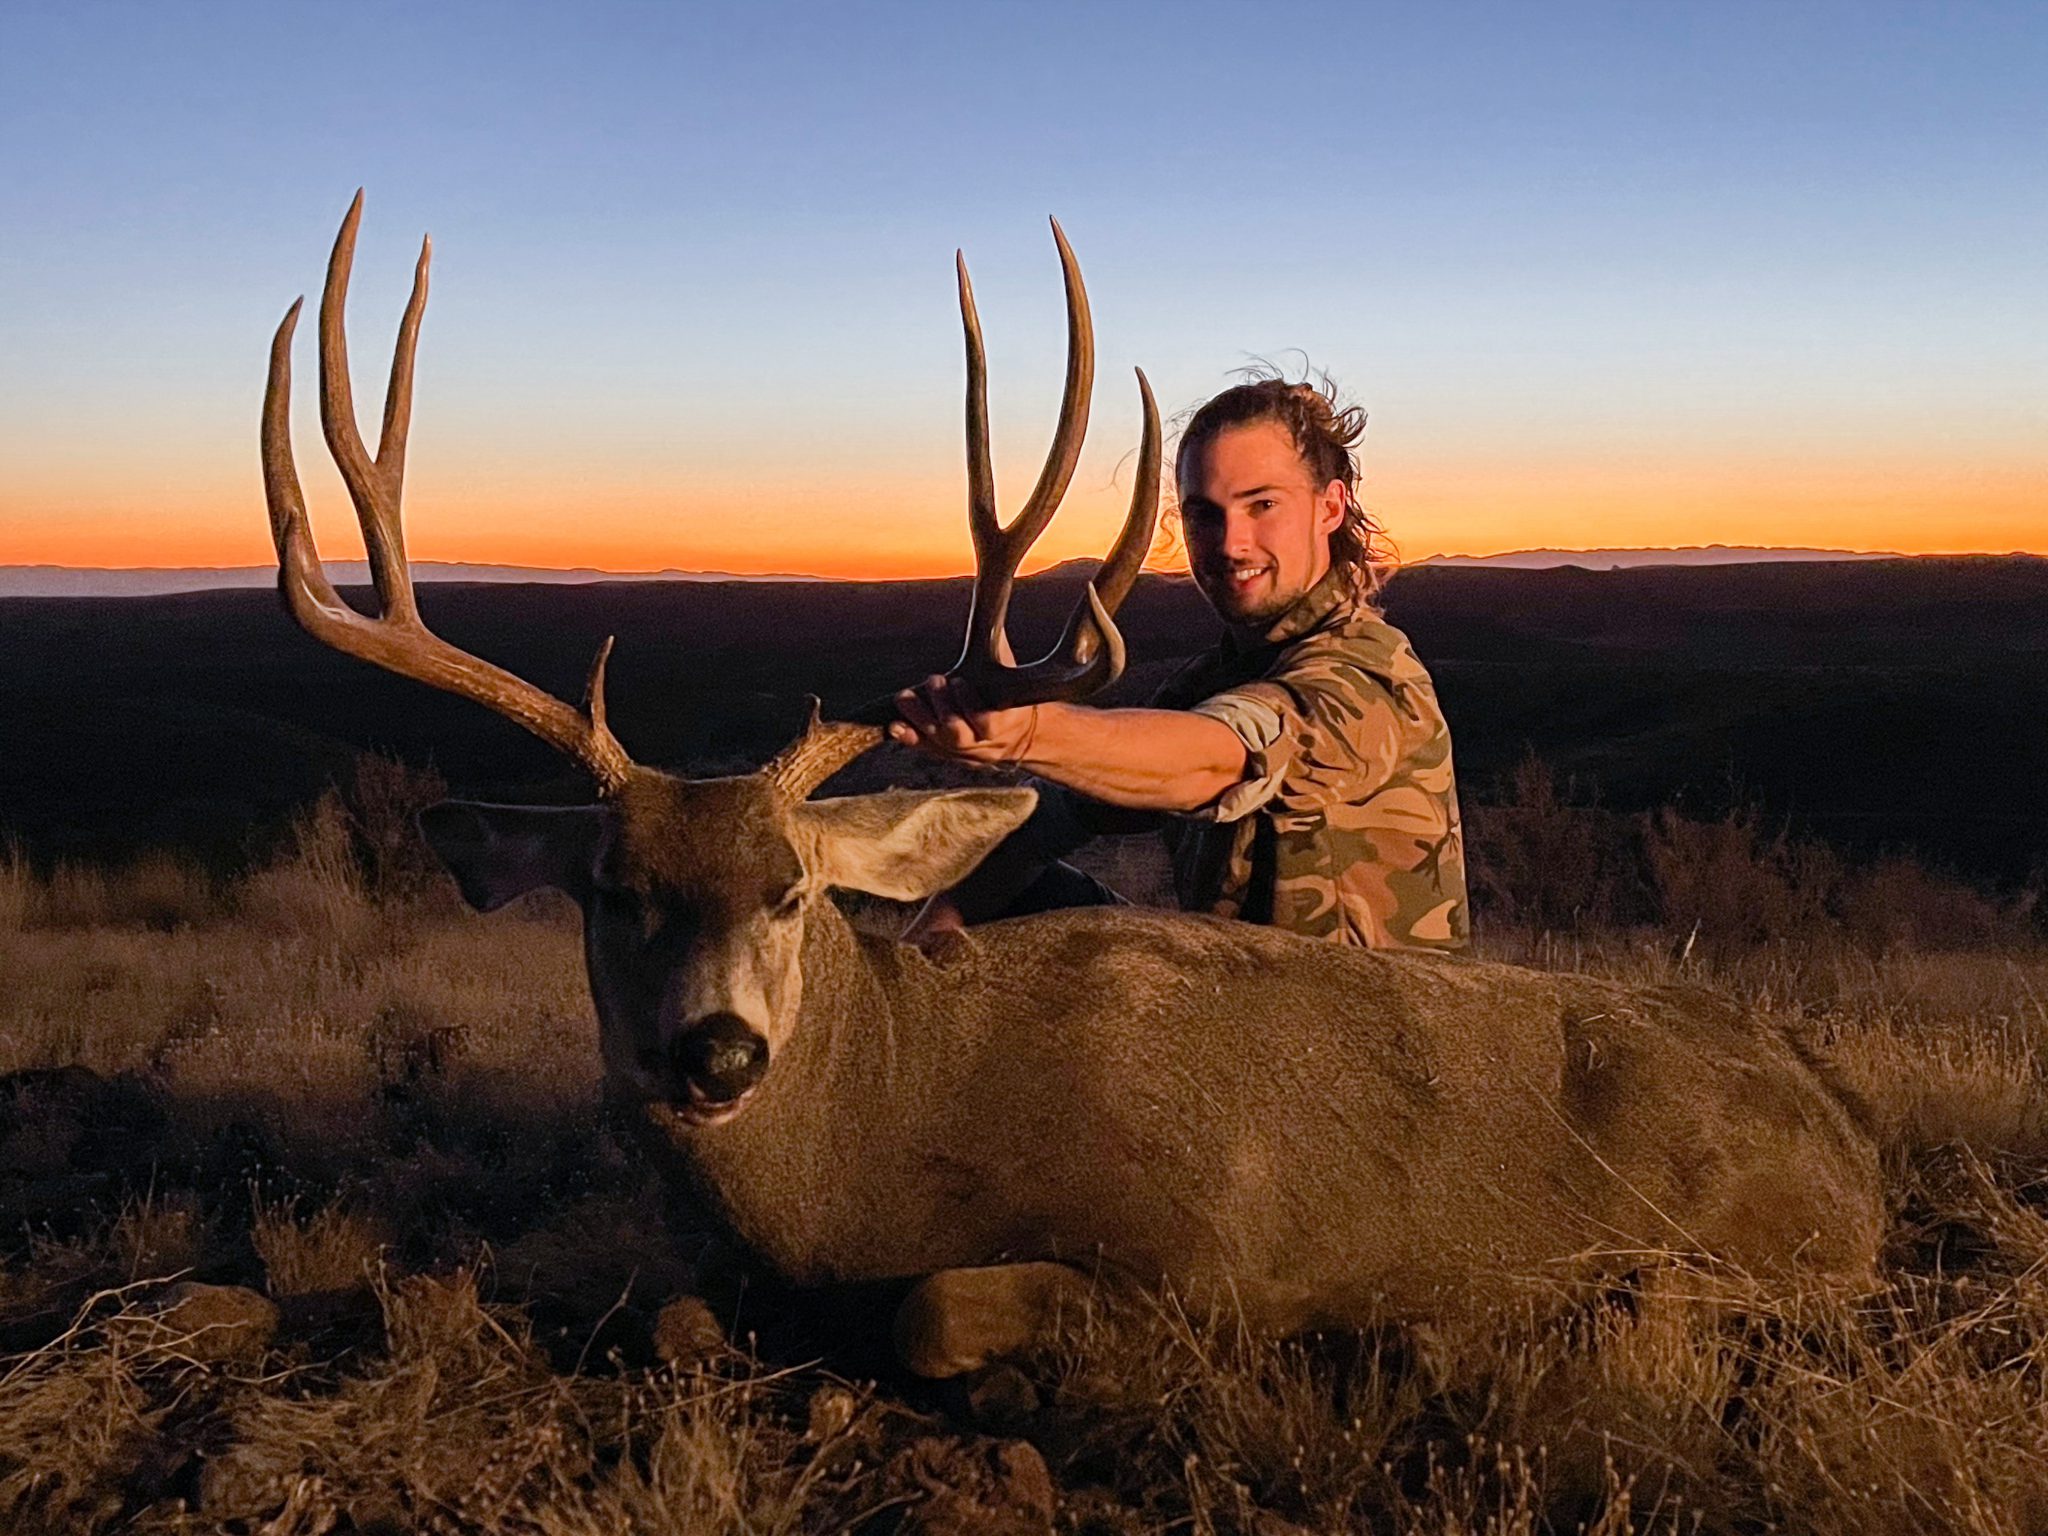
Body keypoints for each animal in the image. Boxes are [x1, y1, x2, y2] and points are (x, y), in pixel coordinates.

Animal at [259, 195, 1885, 1377]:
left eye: (792, 890)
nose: (715, 1053)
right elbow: (671, 1317)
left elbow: (935, 1313)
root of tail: (1852, 1129)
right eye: (612, 889)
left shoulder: (1210, 1256)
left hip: (1765, 1254)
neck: (880, 1156)